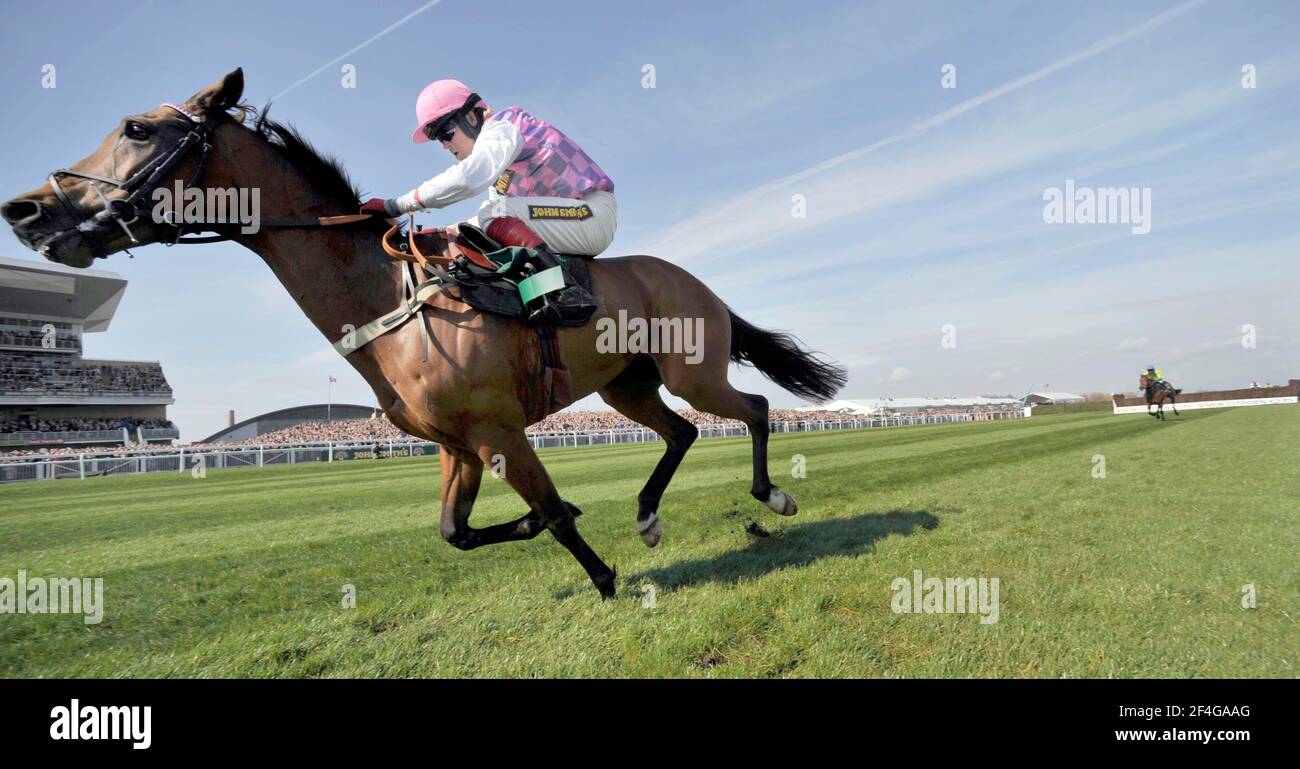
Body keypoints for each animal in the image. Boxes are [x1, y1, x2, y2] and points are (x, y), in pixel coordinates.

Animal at [2, 69, 852, 600]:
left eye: (137, 128)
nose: (27, 209)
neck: (388, 298)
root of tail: (693, 281)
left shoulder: (500, 430)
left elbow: (548, 511)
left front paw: (602, 573)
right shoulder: (456, 443)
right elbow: (457, 531)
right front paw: (556, 525)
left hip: (690, 369)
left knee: (753, 410)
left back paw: (772, 494)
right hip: (627, 386)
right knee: (681, 432)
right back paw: (645, 514)